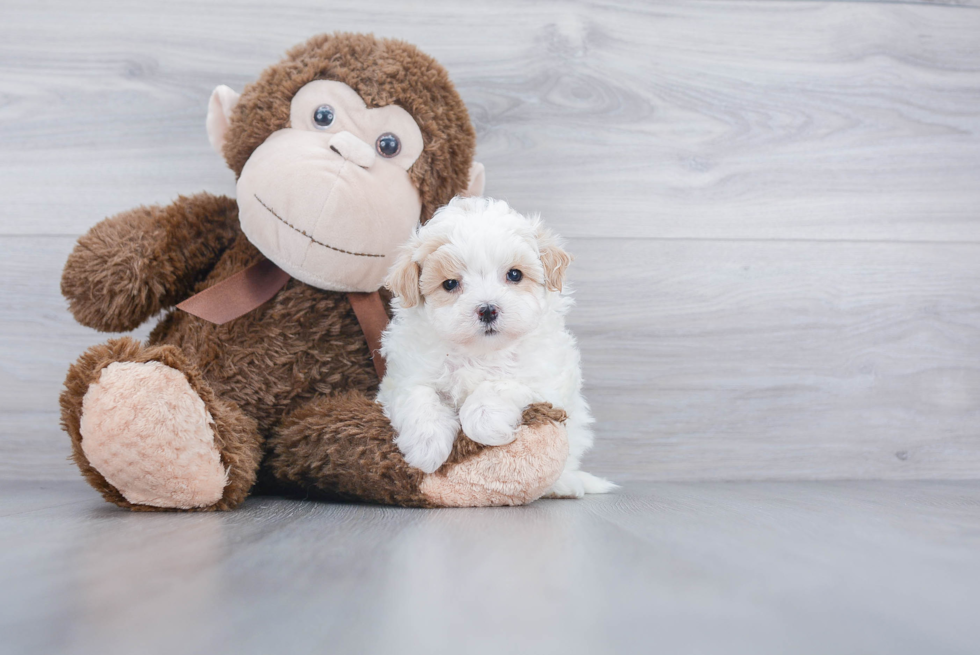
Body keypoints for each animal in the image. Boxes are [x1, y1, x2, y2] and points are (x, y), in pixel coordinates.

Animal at [376, 197, 612, 500]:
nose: (487, 309)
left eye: (515, 274)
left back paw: (566, 484)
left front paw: (486, 427)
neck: (480, 352)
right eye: (450, 283)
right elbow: (419, 396)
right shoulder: (404, 376)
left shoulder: (543, 379)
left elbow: (496, 388)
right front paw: (425, 446)